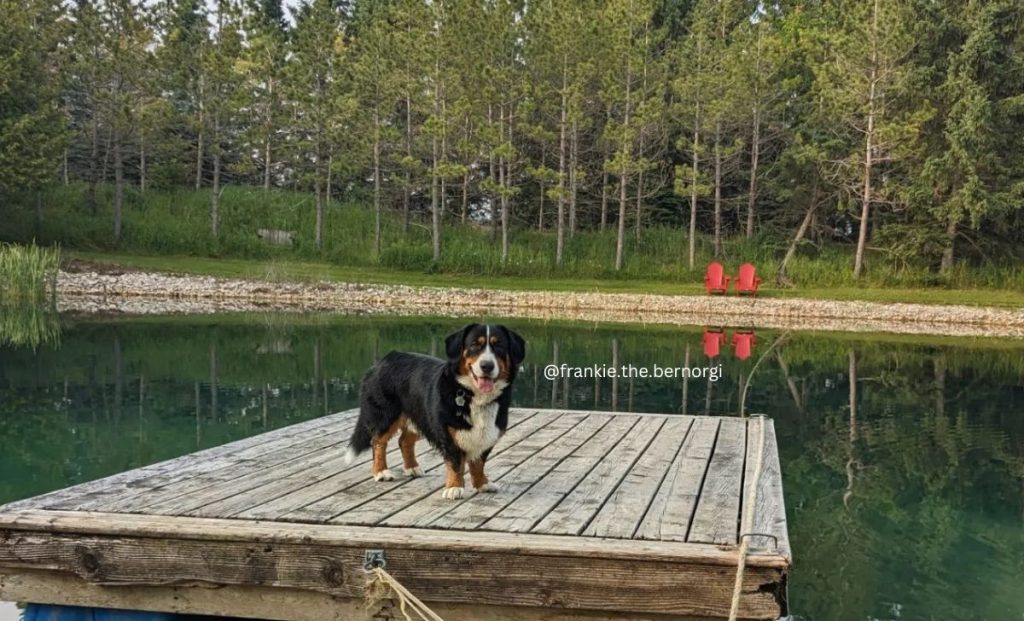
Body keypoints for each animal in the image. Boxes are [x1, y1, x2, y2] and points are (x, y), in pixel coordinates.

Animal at [346, 325, 524, 502]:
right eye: (474, 345)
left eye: (499, 345)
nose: (487, 366)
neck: (473, 395)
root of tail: (384, 359)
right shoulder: (448, 434)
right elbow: (456, 463)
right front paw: (454, 488)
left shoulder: (487, 435)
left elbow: (478, 463)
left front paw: (482, 484)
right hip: (386, 416)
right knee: (378, 442)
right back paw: (381, 472)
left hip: (421, 417)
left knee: (404, 441)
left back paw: (412, 468)